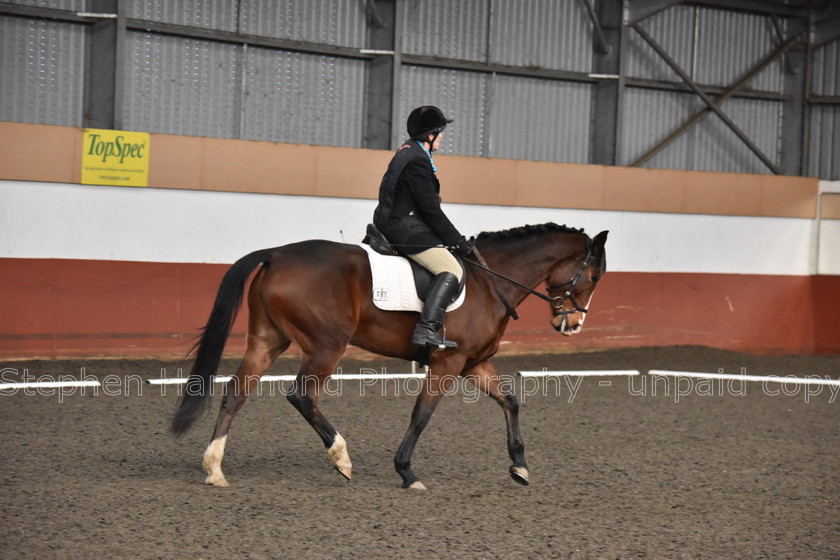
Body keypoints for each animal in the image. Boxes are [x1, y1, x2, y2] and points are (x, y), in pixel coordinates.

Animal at [174, 223, 612, 490]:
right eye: (592, 277)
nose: (572, 325)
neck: (491, 281)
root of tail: (277, 254)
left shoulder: (473, 363)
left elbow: (511, 400)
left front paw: (519, 466)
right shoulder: (448, 364)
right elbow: (422, 414)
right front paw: (406, 471)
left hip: (268, 341)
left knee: (235, 393)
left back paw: (214, 468)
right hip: (326, 345)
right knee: (301, 395)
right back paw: (341, 458)